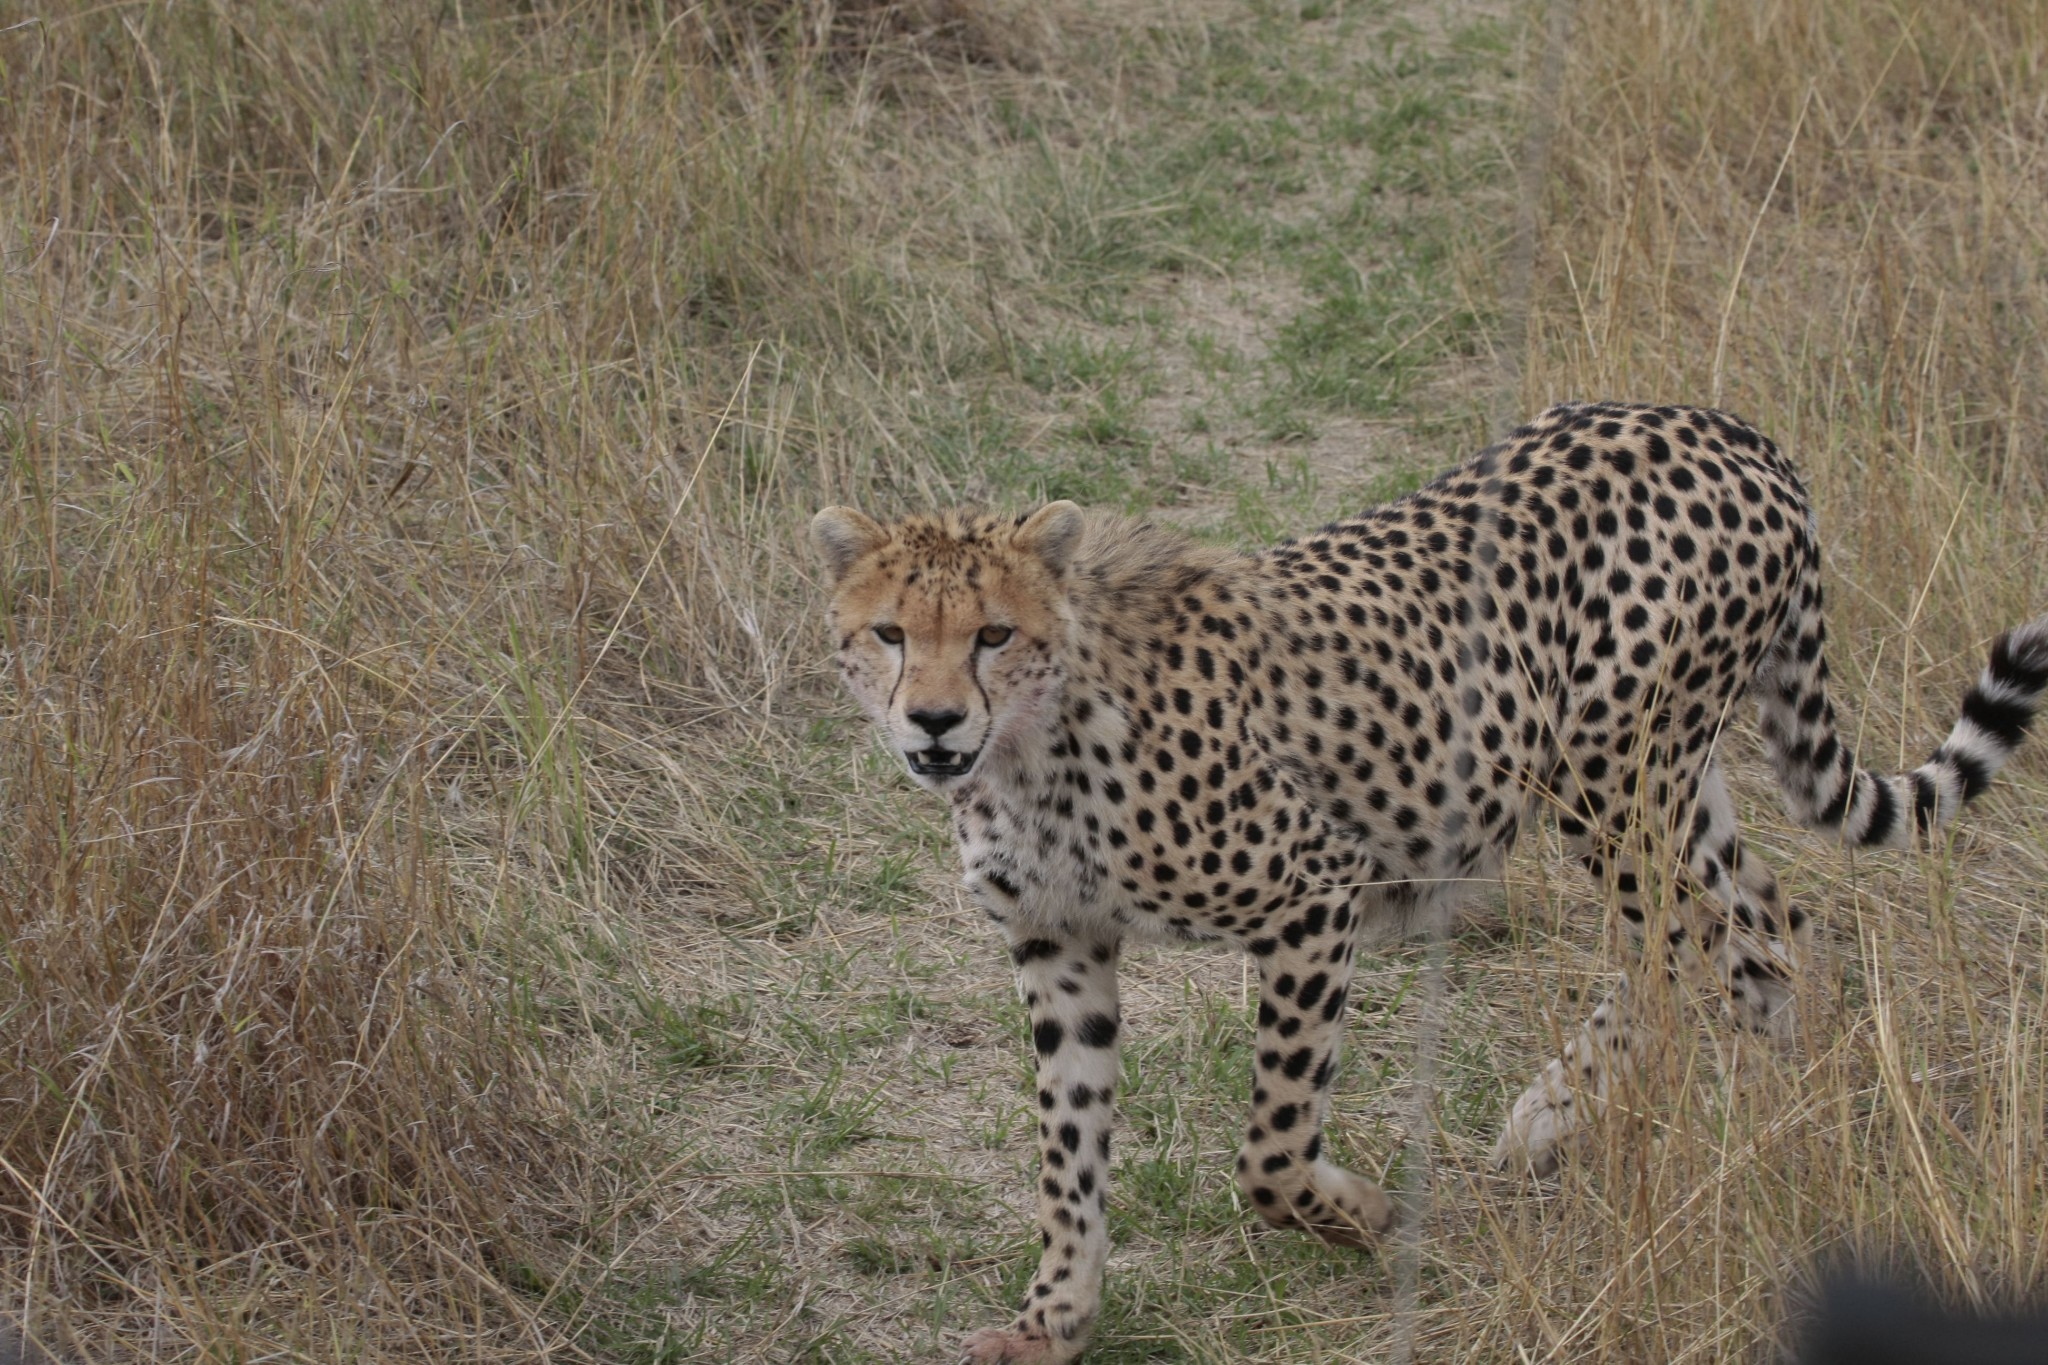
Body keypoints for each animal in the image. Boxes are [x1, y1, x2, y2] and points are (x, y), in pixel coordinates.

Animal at [806, 401, 2048, 1358]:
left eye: (991, 635)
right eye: (889, 633)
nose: (931, 723)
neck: (1028, 748)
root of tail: (1727, 428)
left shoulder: (1312, 894)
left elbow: (1269, 1146)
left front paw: (1360, 1216)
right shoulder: (1059, 944)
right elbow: (1068, 1151)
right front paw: (1052, 1320)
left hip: (1608, 779)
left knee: (1713, 947)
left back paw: (1651, 1114)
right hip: (1667, 788)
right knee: (1772, 933)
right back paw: (1729, 1108)